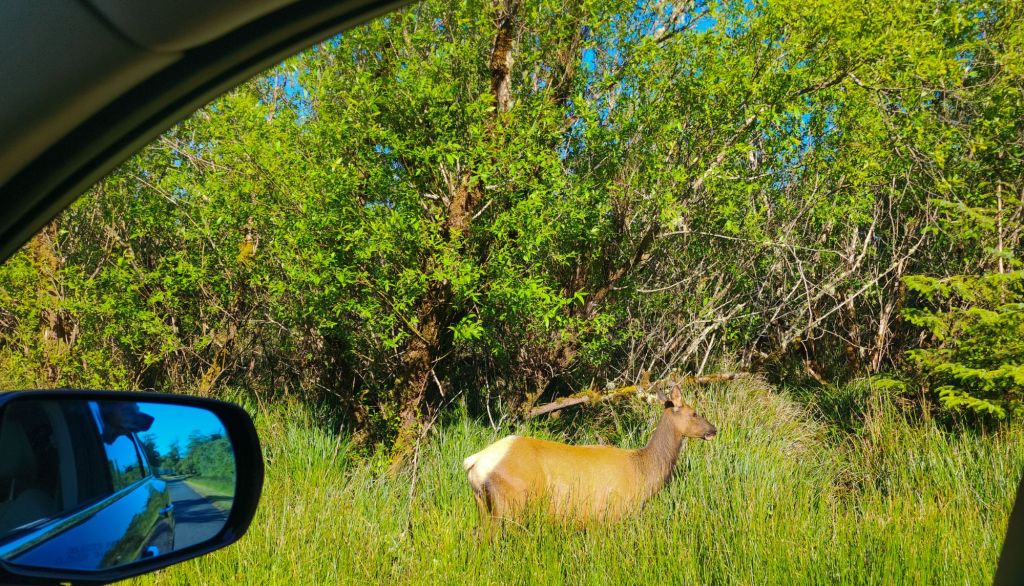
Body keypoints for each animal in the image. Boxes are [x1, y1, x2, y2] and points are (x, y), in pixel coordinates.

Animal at [462, 385, 717, 527]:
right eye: (695, 413)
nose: (713, 429)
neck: (643, 471)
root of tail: (475, 461)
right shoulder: (613, 512)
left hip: (482, 503)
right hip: (510, 500)